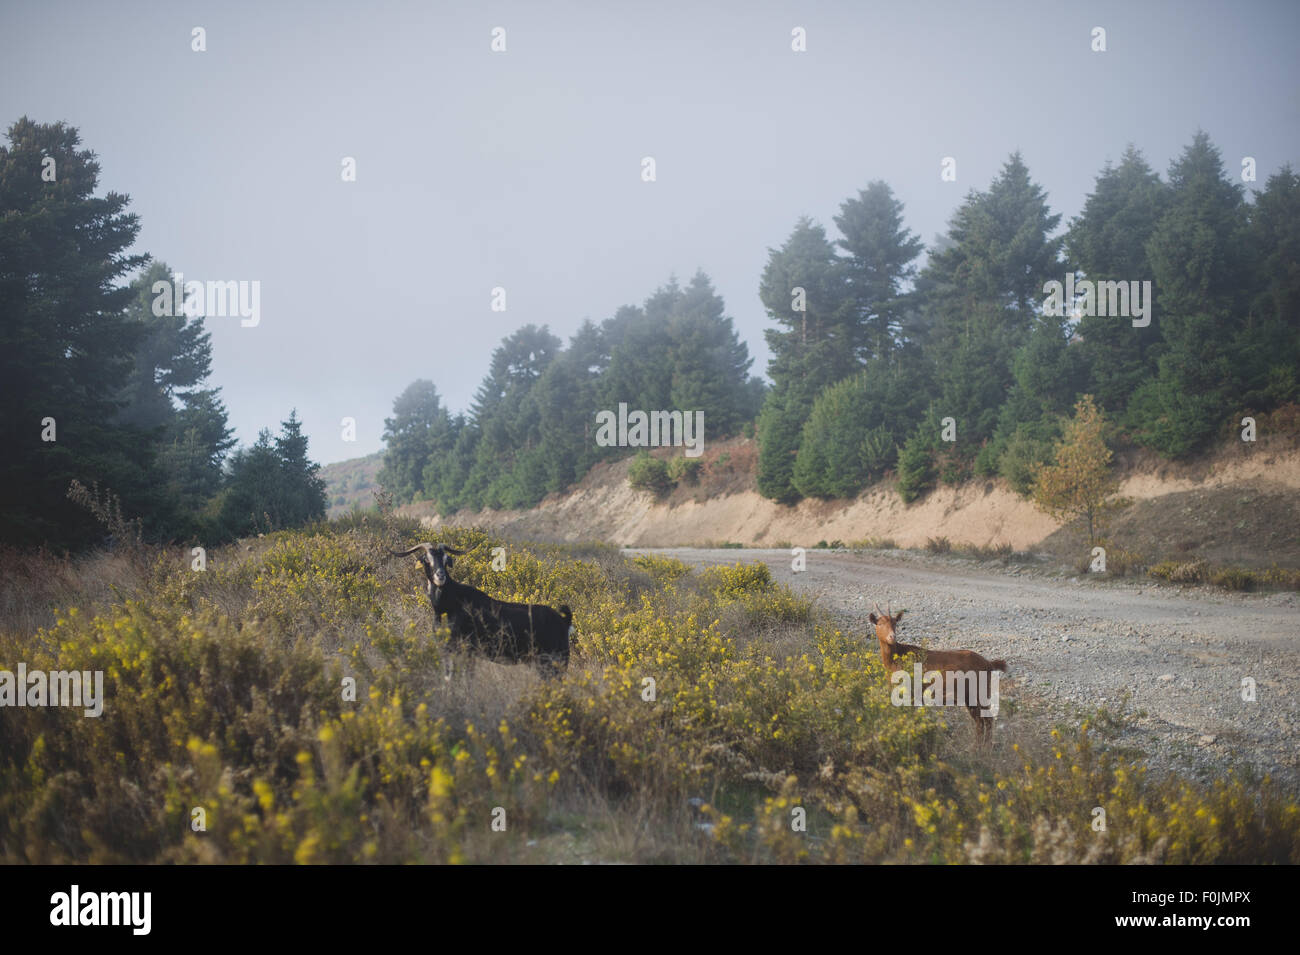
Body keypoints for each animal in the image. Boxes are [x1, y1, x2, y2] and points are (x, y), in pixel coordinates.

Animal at [390, 545, 574, 670]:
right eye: (426, 560)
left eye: (446, 560)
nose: (440, 575)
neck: (448, 605)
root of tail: (564, 621)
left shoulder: (467, 650)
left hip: (554, 661)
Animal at [873, 600, 1003, 743]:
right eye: (879, 623)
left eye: (895, 623)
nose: (892, 637)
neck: (897, 657)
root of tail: (989, 663)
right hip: (970, 696)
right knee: (981, 721)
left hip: (980, 692)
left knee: (987, 720)